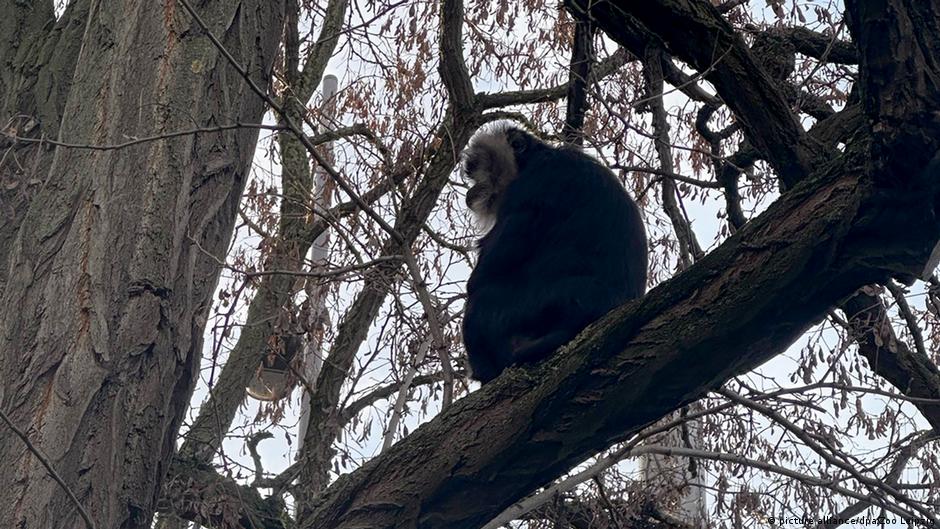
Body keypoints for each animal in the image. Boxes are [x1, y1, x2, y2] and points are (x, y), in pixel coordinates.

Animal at [461, 124, 647, 383]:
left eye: (476, 168)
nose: (471, 190)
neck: (532, 160)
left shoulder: (533, 182)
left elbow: (493, 264)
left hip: (542, 303)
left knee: (480, 305)